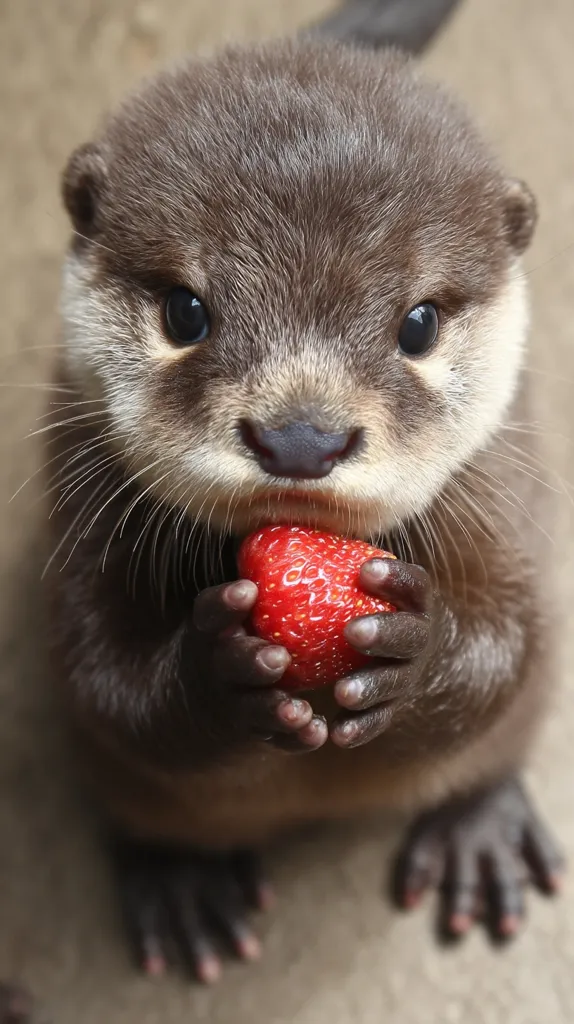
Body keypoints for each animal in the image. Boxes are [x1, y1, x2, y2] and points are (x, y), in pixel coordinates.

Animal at [43, 0, 562, 985]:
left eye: (418, 324)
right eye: (185, 311)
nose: (301, 438)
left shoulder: (505, 496)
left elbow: (508, 646)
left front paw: (409, 651)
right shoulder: (77, 500)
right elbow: (101, 679)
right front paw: (219, 669)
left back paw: (482, 832)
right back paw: (181, 884)